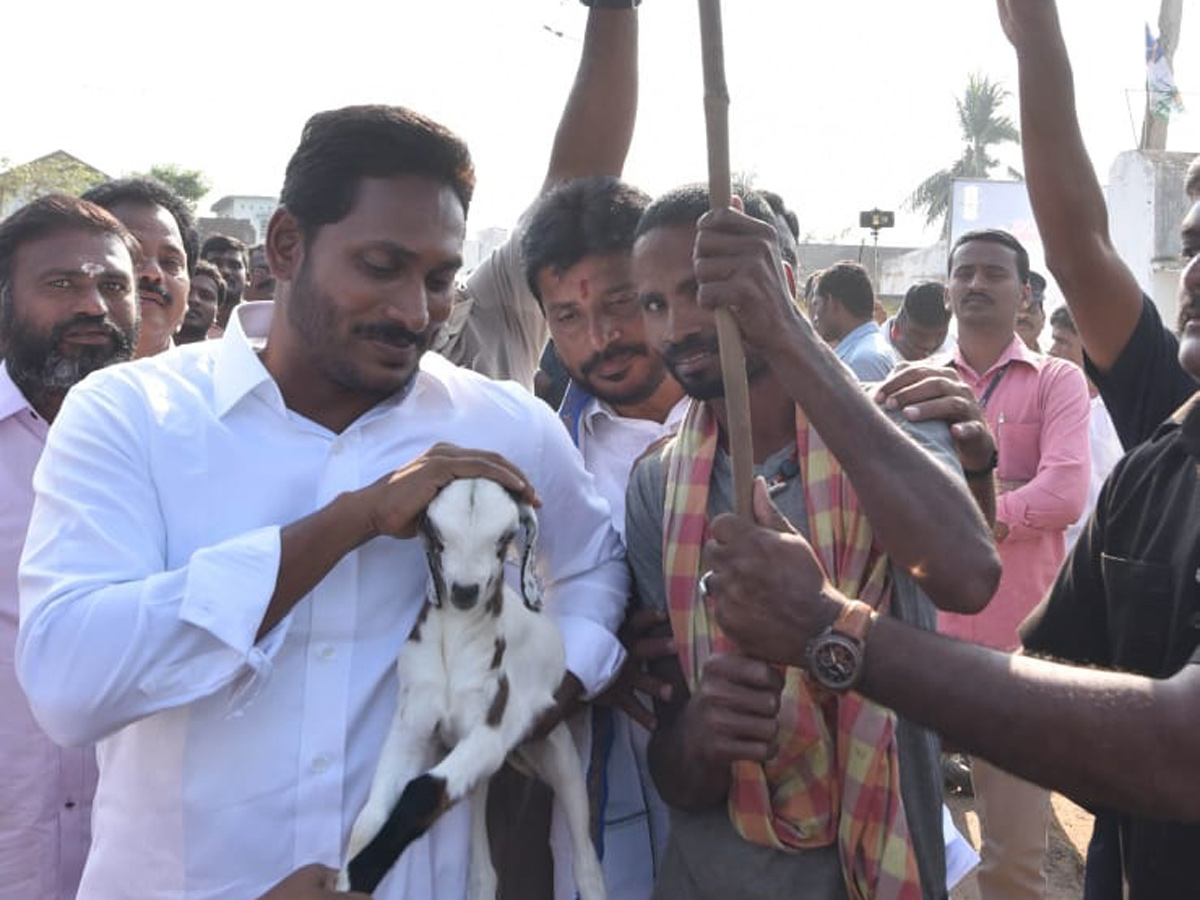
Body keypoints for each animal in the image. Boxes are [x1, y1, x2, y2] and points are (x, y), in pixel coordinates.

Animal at [338, 480, 604, 900]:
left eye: (504, 539)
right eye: (437, 535)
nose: (465, 591)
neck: (456, 641)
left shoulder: (490, 734)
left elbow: (421, 791)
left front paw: (362, 873)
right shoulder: (413, 724)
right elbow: (369, 818)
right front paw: (345, 878)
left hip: (558, 755)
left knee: (586, 863)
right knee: (482, 873)